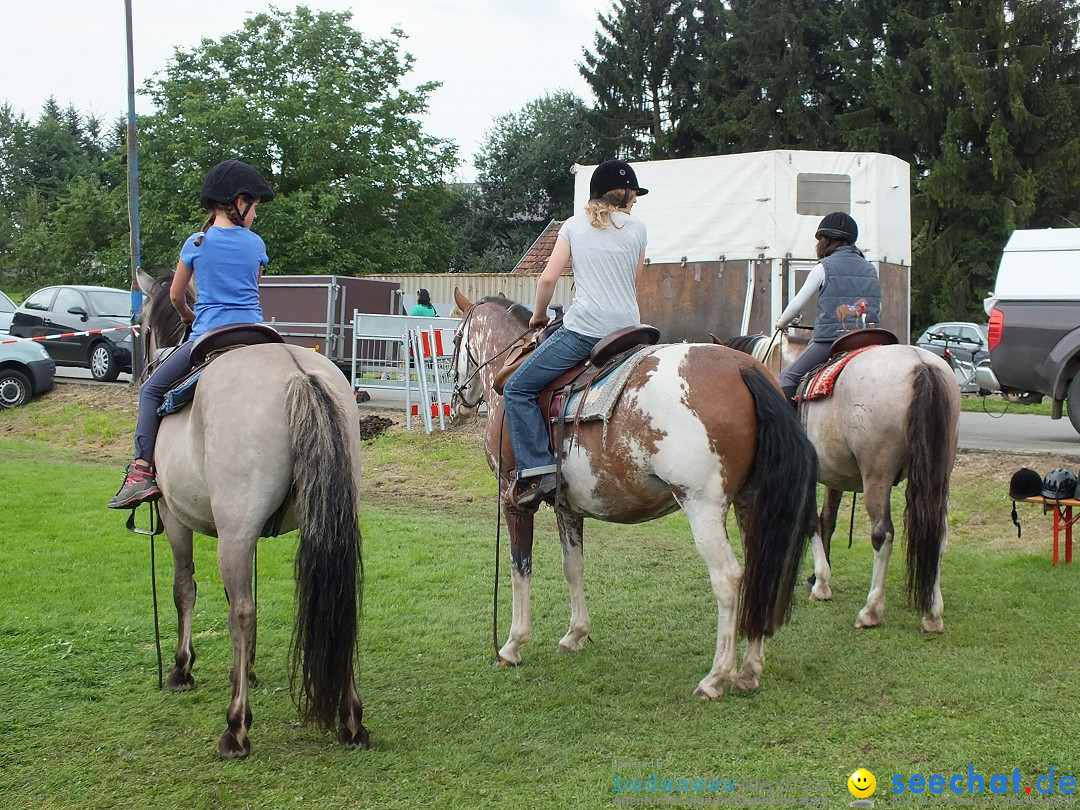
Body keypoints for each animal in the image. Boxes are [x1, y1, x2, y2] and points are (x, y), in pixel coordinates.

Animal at [129, 270, 367, 760]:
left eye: (141, 326)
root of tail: (298, 375)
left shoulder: (176, 517)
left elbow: (186, 589)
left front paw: (182, 669)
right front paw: (248, 671)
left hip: (234, 529)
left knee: (241, 612)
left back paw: (236, 727)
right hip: (326, 521)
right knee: (339, 600)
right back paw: (351, 721)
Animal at [449, 291, 816, 699]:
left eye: (454, 339)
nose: (458, 399)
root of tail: (743, 370)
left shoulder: (514, 501)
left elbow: (520, 569)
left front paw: (512, 645)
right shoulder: (567, 507)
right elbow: (572, 566)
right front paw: (576, 634)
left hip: (703, 506)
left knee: (728, 578)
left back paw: (715, 677)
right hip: (751, 503)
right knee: (759, 571)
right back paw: (749, 669)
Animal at [721, 330, 959, 635]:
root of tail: (920, 363)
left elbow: (811, 521)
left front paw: (821, 583)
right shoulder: (835, 476)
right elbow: (828, 520)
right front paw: (816, 577)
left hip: (877, 476)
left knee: (883, 534)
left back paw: (871, 611)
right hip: (940, 475)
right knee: (938, 534)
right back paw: (932, 611)